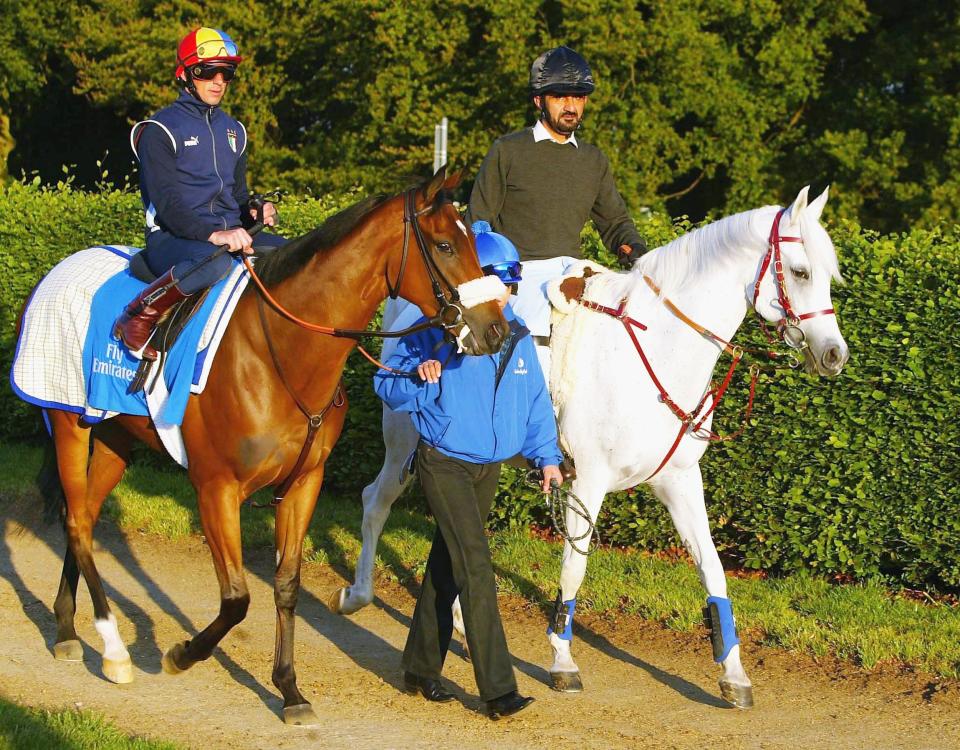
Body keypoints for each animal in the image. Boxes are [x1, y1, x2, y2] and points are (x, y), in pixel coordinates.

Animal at [22, 167, 506, 724]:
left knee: (81, 516)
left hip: (114, 437)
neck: (279, 352)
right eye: (446, 245)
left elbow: (286, 585)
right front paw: (181, 654)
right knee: (78, 524)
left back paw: (65, 627)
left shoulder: (303, 484)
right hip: (68, 424)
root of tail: (60, 269)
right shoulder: (216, 488)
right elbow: (236, 598)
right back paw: (115, 650)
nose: (496, 329)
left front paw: (289, 689)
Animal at [328, 187, 848, 712]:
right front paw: (562, 660)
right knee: (376, 501)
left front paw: (734, 673)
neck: (655, 349)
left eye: (828, 275)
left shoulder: (679, 481)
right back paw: (358, 594)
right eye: (801, 272)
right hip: (404, 444)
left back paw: (453, 619)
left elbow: (713, 570)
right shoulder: (589, 482)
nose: (834, 354)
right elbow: (574, 567)